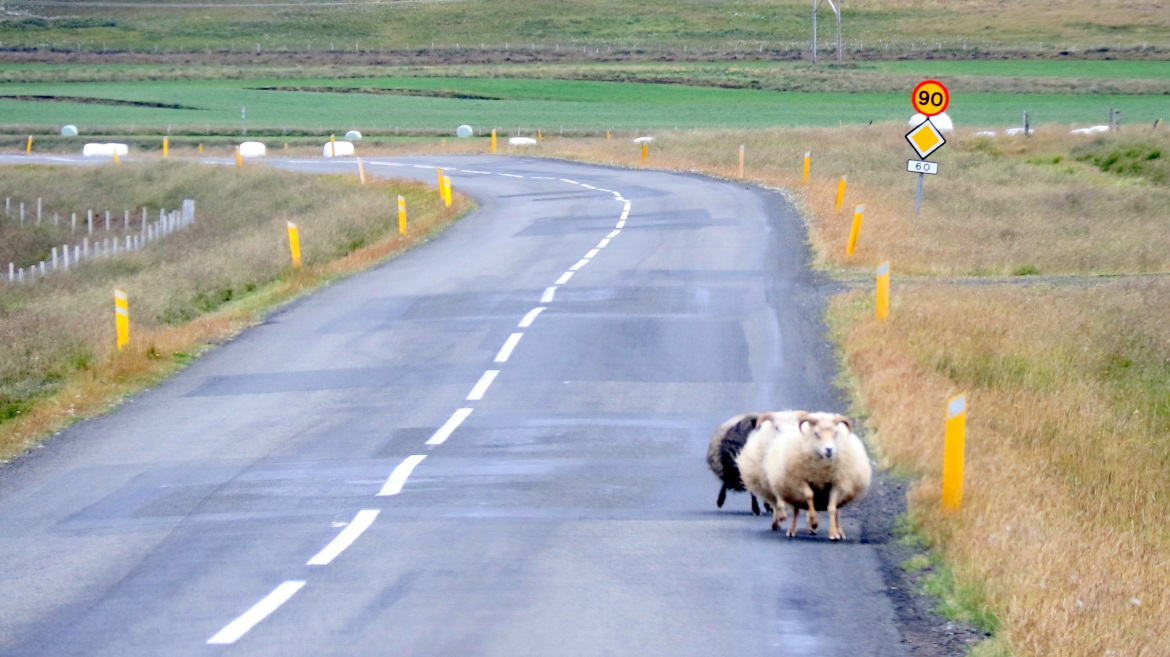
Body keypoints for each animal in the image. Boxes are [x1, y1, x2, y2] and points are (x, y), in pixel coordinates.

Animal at [761, 412, 872, 541]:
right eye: (816, 434)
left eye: (835, 433)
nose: (829, 450)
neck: (821, 472)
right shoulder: (800, 481)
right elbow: (809, 496)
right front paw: (814, 522)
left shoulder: (836, 483)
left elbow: (832, 508)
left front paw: (833, 533)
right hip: (792, 490)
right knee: (796, 510)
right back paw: (792, 530)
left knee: (837, 510)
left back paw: (839, 531)